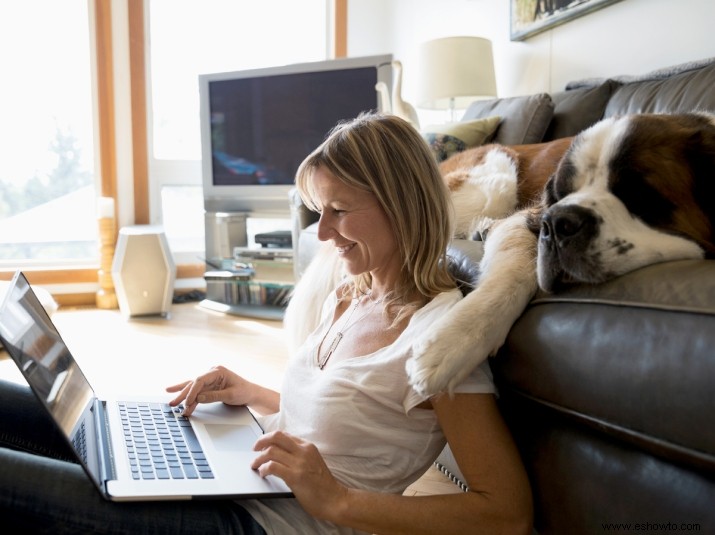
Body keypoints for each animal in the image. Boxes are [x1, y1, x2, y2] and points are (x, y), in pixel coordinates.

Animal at [286, 112, 715, 398]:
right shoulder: (529, 218)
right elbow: (510, 278)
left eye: (638, 195)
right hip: (494, 176)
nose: (559, 222)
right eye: (560, 194)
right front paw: (449, 347)